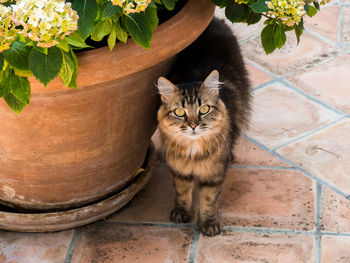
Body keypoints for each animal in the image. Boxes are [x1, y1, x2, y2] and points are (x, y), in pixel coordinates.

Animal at [157, 18, 252, 237]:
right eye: (179, 112)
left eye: (204, 109)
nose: (193, 125)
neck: (193, 152)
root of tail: (216, 19)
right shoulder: (179, 170)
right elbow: (182, 192)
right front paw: (183, 213)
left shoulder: (213, 174)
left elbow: (209, 199)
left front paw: (209, 223)